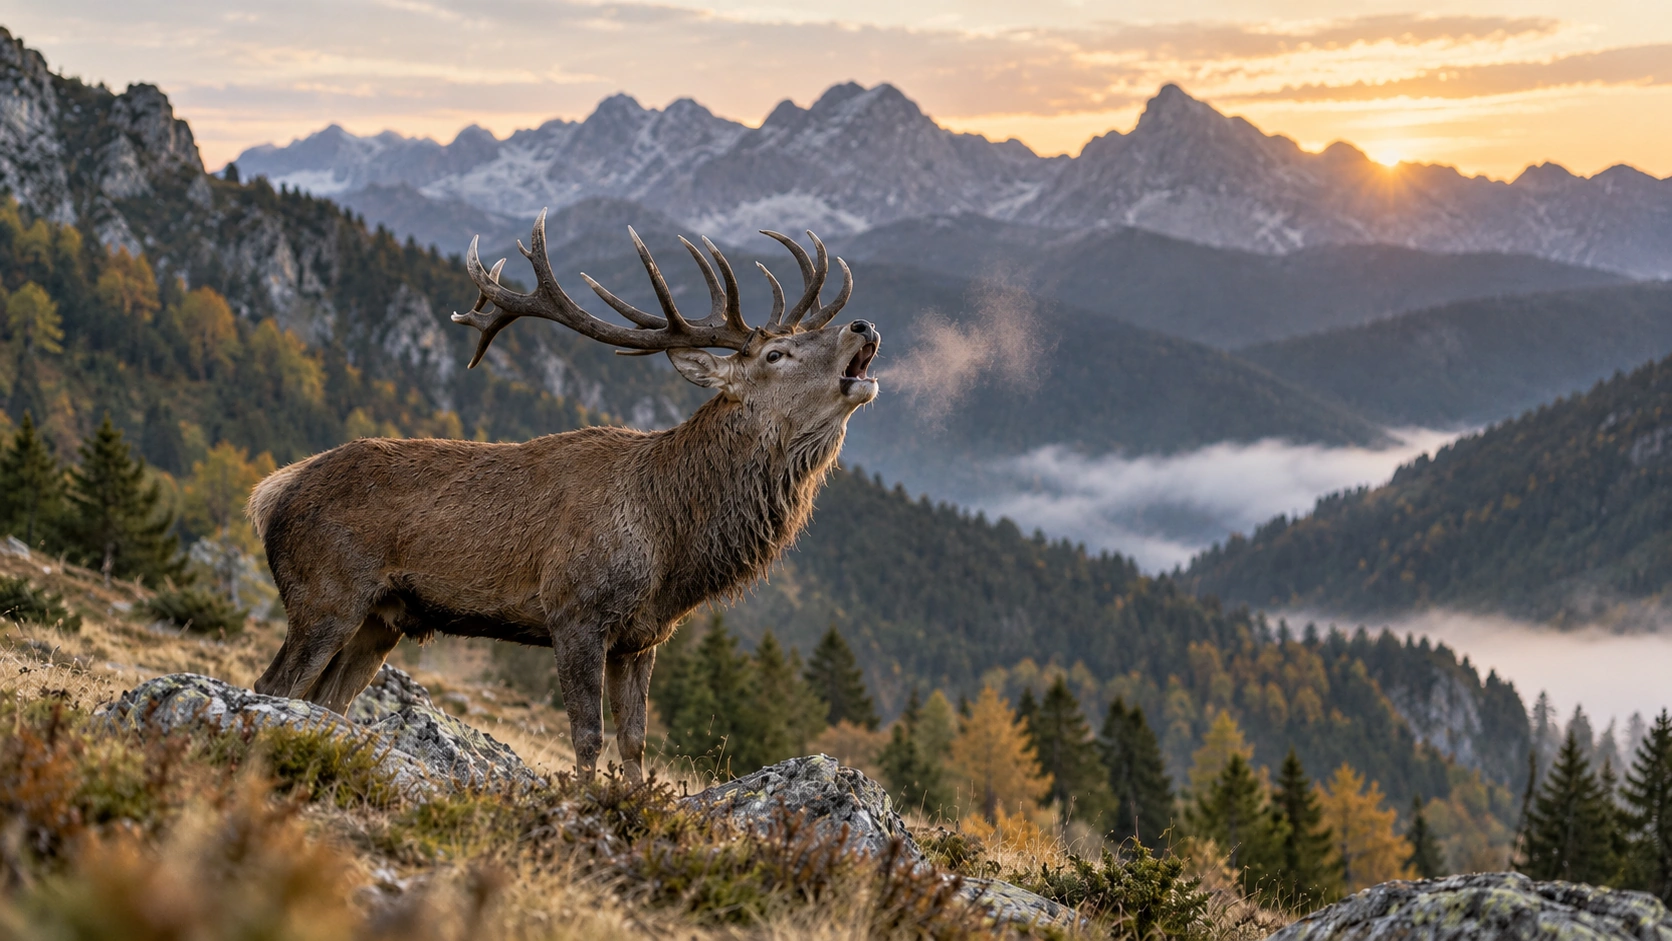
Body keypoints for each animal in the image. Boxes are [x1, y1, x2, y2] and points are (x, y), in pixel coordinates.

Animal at [246, 211, 879, 781]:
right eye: (776, 355)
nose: (862, 326)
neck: (669, 543)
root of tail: (271, 492)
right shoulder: (574, 609)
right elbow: (587, 736)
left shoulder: (641, 638)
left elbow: (634, 742)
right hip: (325, 592)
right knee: (274, 684)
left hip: (383, 618)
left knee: (326, 699)